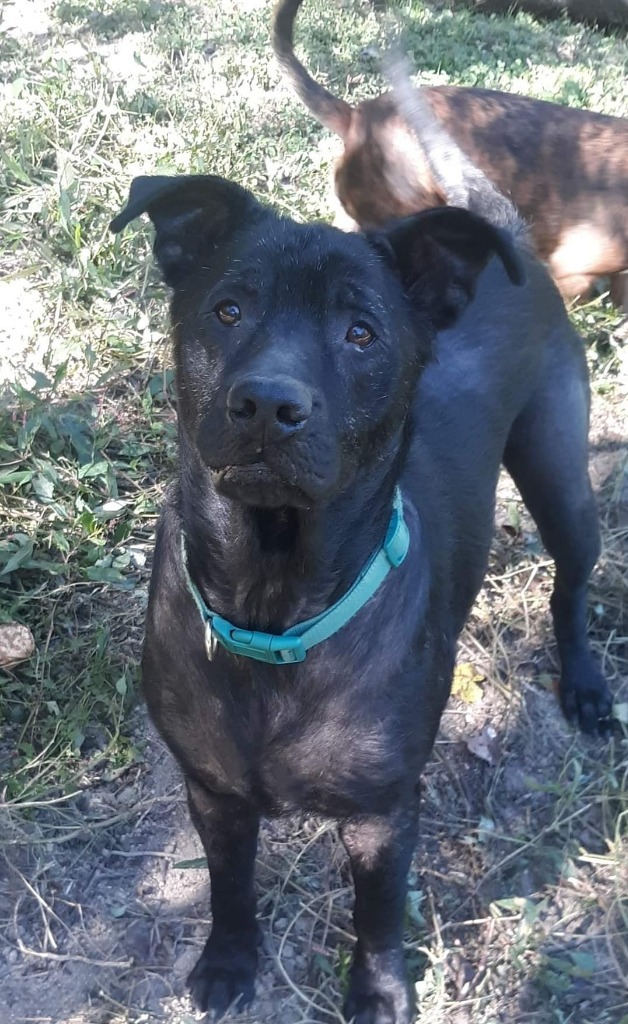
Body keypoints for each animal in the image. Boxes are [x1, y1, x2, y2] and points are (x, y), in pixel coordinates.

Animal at [110, 114, 610, 1024]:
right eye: (228, 309)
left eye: (361, 333)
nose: (268, 405)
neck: (277, 605)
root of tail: (506, 240)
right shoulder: (213, 795)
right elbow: (229, 887)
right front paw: (229, 962)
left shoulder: (382, 814)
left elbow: (376, 910)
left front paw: (378, 992)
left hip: (560, 475)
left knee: (572, 585)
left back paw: (586, 687)